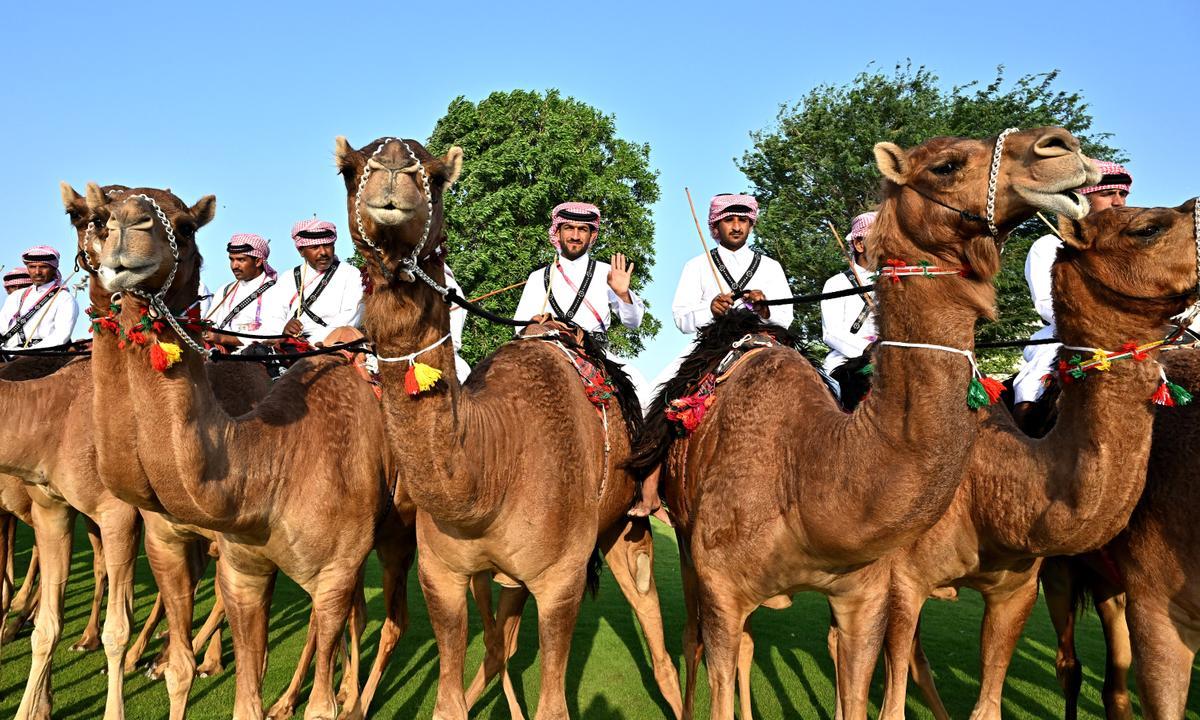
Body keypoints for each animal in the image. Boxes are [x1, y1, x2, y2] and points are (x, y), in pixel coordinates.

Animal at [85, 184, 403, 720]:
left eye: (186, 225)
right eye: (99, 218)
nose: (125, 228)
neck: (271, 465)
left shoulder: (333, 572)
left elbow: (320, 703)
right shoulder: (241, 569)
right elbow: (238, 695)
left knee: (393, 622)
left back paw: (352, 701)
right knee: (358, 619)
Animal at [333, 136, 686, 720]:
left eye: (437, 175)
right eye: (348, 168)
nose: (392, 169)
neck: (490, 469)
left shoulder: (561, 581)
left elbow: (554, 705)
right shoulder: (443, 576)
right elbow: (450, 699)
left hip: (624, 528)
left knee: (655, 633)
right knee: (504, 642)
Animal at [628, 126, 1099, 715]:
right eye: (945, 165)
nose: (1062, 147)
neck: (806, 475)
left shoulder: (865, 595)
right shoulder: (722, 588)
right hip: (689, 547)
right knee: (694, 639)